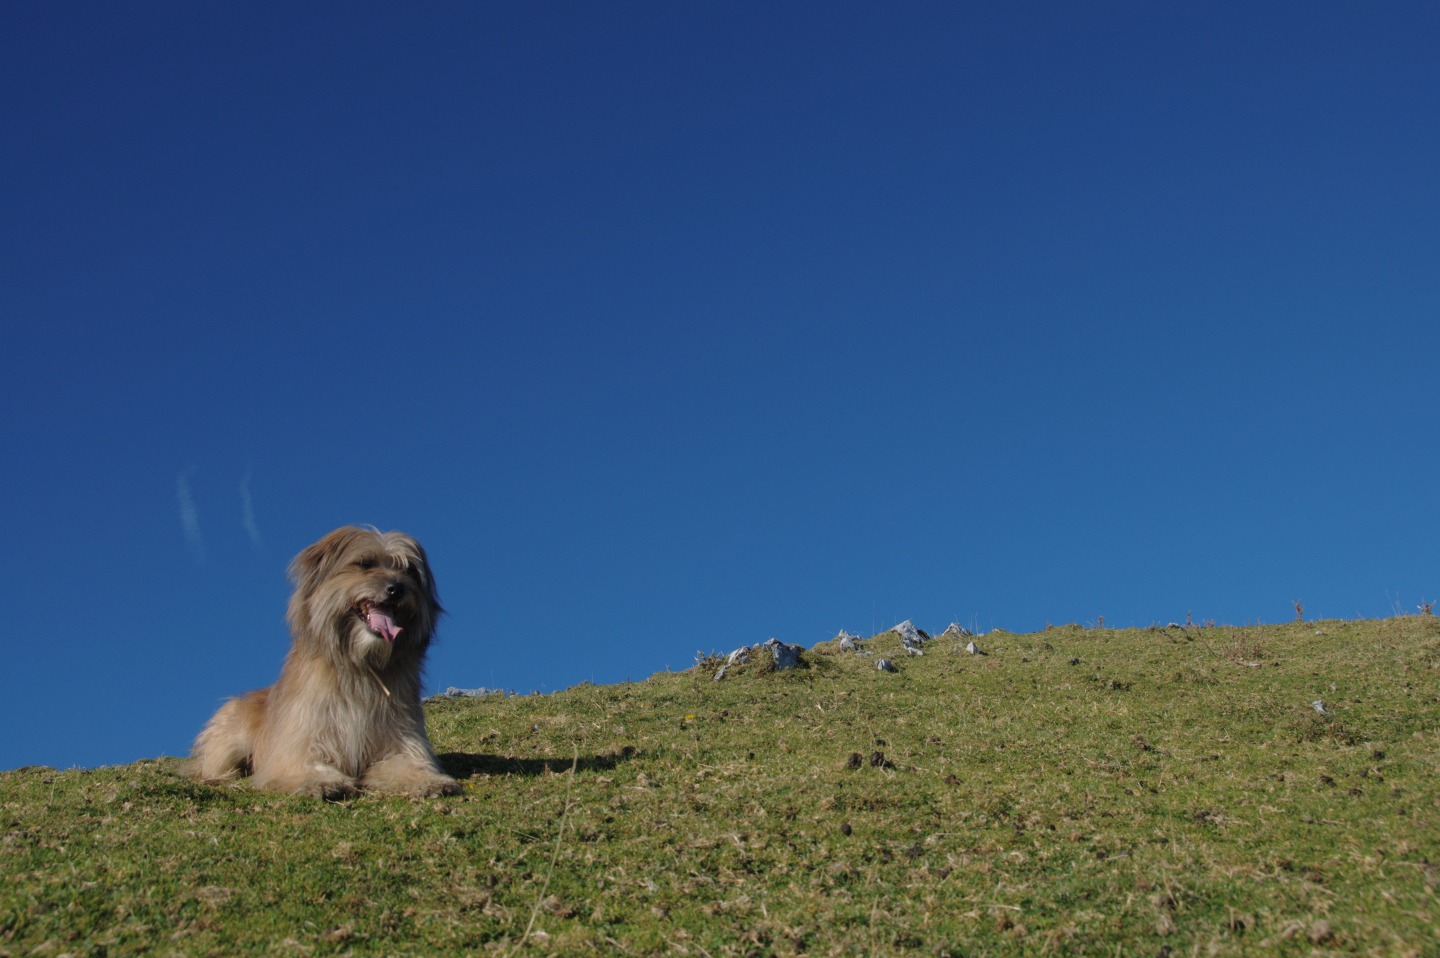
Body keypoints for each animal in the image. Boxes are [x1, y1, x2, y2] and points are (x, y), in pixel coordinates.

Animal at [182, 527, 457, 795]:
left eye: (408, 570)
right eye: (365, 564)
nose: (397, 588)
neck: (361, 666)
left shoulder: (402, 738)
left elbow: (407, 762)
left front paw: (429, 781)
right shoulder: (302, 739)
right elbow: (304, 763)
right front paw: (321, 782)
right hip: (227, 740)